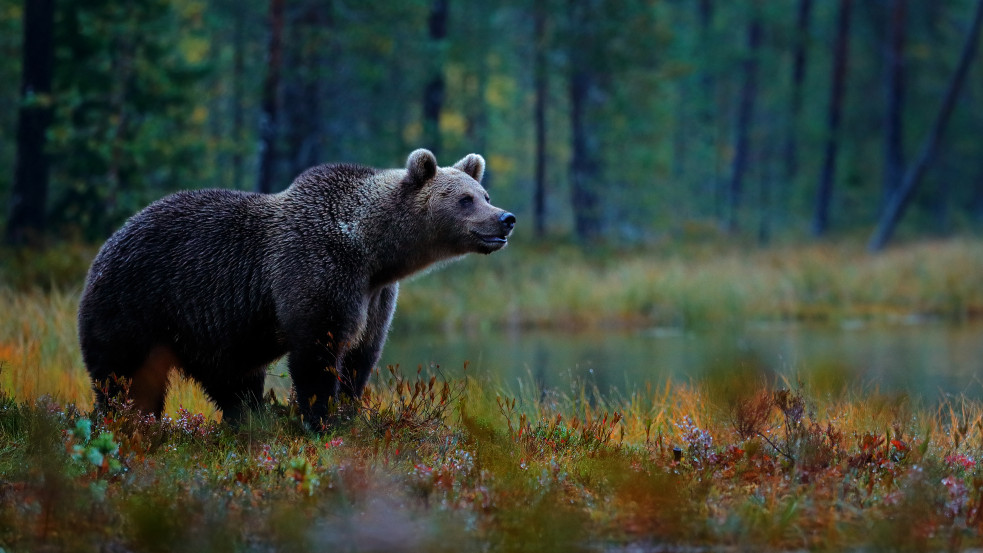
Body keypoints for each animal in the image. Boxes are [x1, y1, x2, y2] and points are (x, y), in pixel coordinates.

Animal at [77, 150, 516, 426]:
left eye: (485, 194)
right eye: (464, 199)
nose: (505, 218)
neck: (372, 251)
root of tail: (106, 244)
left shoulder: (375, 297)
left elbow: (360, 356)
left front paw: (348, 413)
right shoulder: (317, 270)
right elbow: (317, 352)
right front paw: (318, 420)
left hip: (206, 332)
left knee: (233, 382)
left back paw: (247, 420)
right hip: (137, 302)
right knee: (123, 377)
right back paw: (128, 420)